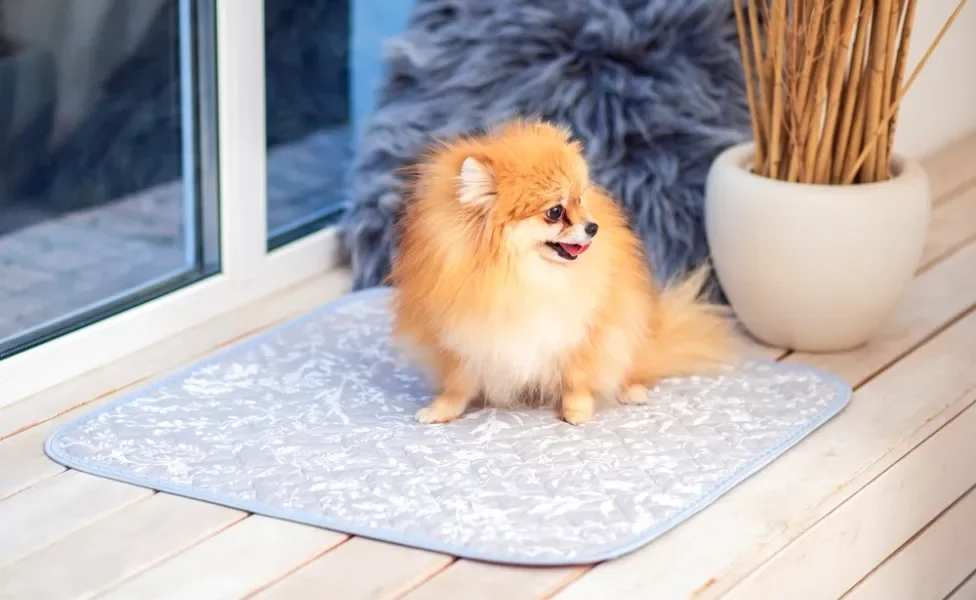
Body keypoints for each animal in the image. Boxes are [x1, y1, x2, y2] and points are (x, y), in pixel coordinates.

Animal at [388, 118, 732, 426]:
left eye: (579, 199)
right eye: (555, 212)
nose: (593, 227)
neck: (522, 277)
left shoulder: (580, 333)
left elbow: (576, 379)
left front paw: (577, 411)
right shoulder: (461, 340)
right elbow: (458, 384)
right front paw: (442, 409)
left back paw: (630, 390)